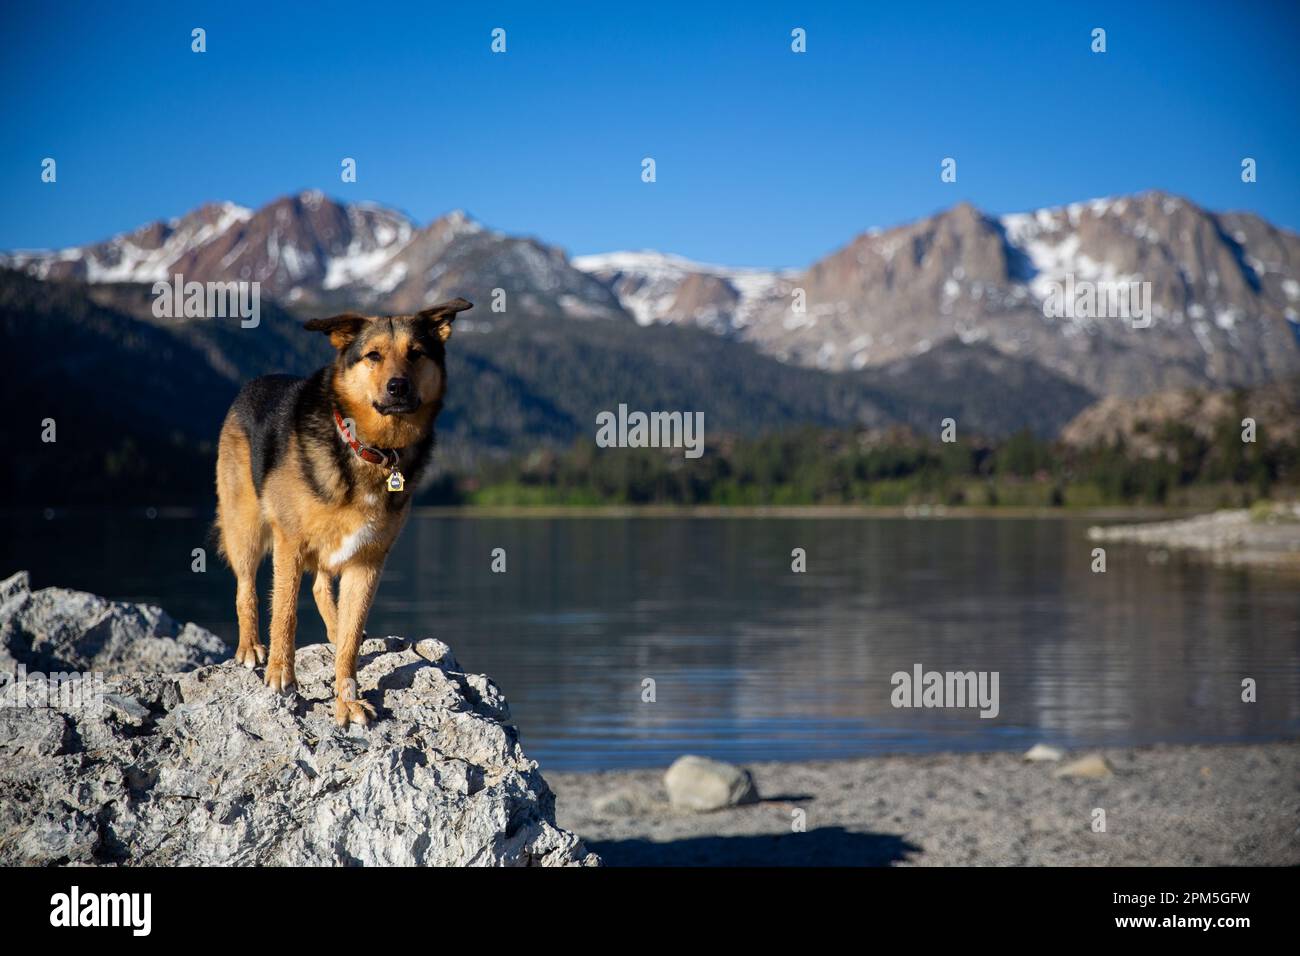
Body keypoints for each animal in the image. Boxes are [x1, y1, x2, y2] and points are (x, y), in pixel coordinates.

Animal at [215, 299, 475, 723]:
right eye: (373, 356)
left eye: (416, 354)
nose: (398, 387)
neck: (371, 449)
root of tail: (255, 383)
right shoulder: (290, 542)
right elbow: (285, 612)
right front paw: (281, 673)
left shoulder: (368, 559)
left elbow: (352, 634)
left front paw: (347, 697)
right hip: (246, 526)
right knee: (245, 586)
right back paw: (251, 646)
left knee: (322, 587)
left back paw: (333, 630)